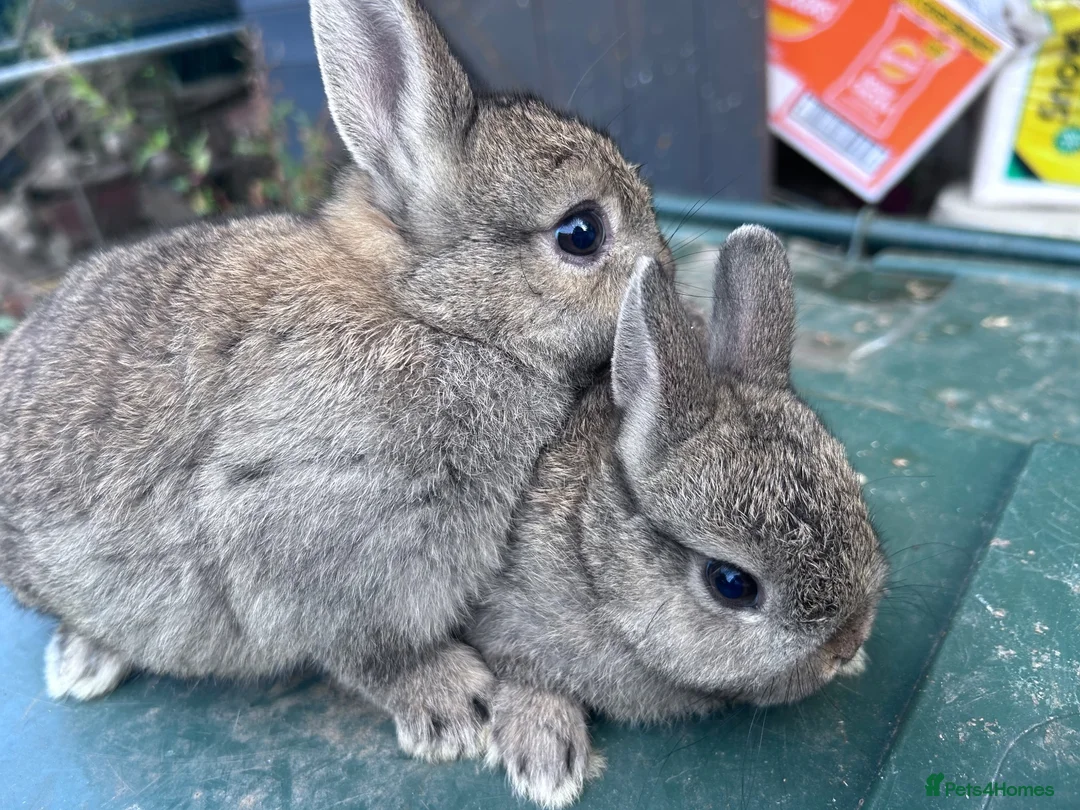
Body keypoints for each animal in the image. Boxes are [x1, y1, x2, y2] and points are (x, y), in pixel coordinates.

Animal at [0, 0, 667, 762]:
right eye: (581, 232)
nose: (668, 272)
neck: (430, 313)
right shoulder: (306, 536)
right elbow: (366, 651)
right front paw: (452, 705)